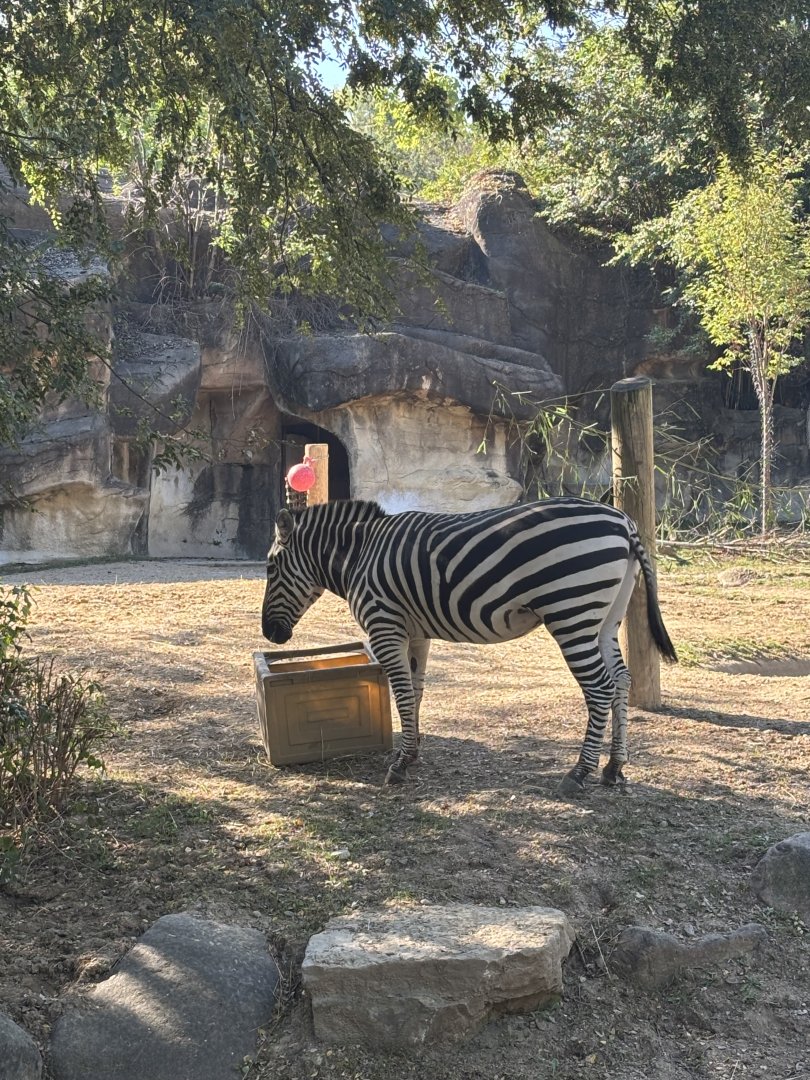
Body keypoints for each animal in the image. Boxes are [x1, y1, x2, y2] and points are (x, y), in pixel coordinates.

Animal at [261, 497, 677, 795]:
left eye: (270, 568)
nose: (269, 633)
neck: (360, 553)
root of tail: (623, 520)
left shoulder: (385, 625)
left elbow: (402, 693)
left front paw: (400, 764)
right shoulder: (415, 631)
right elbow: (416, 691)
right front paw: (411, 752)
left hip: (571, 611)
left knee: (600, 687)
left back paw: (578, 773)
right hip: (605, 617)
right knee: (621, 680)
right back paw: (614, 768)